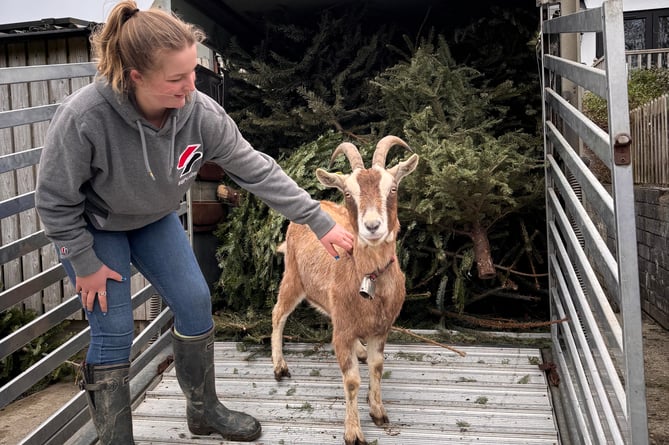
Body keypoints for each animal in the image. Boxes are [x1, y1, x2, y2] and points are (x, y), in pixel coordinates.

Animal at [270, 135, 418, 444]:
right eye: (349, 194)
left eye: (393, 188)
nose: (372, 226)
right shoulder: (343, 332)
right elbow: (351, 381)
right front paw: (354, 432)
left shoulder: (381, 328)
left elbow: (377, 366)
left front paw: (378, 411)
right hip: (293, 277)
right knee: (278, 314)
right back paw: (279, 367)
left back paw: (358, 350)